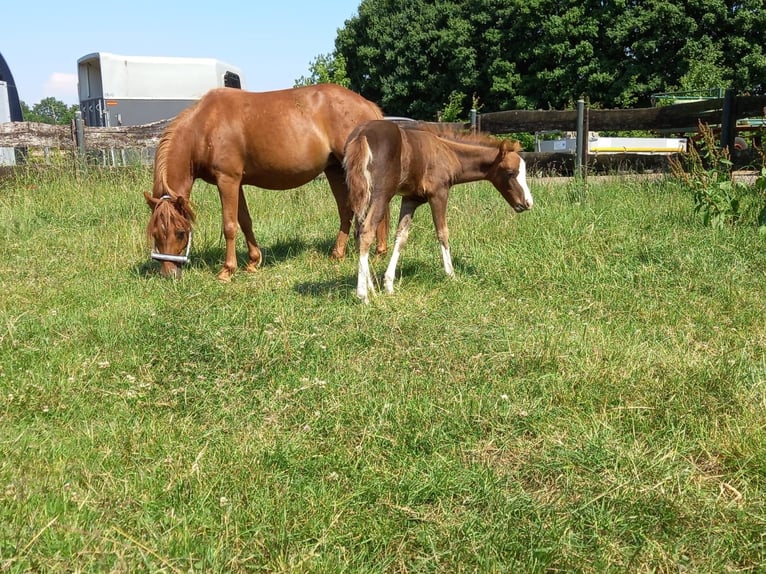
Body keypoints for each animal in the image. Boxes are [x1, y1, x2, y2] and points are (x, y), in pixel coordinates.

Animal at [146, 85, 390, 282]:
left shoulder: (227, 180)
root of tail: (368, 105)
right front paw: (253, 262)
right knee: (347, 209)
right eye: (155, 233)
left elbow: (230, 226)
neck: (204, 127)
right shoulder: (237, 183)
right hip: (335, 169)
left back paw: (378, 252)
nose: (168, 274)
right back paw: (339, 254)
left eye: (180, 232)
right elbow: (245, 221)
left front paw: (227, 271)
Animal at [348, 122, 536, 306]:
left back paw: (371, 289)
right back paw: (363, 295)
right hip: (381, 194)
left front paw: (388, 285)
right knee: (367, 231)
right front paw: (451, 275)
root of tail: (362, 135)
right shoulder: (439, 193)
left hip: (359, 194)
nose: (527, 203)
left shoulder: (410, 199)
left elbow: (401, 236)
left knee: (358, 232)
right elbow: (443, 232)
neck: (447, 151)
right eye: (511, 173)